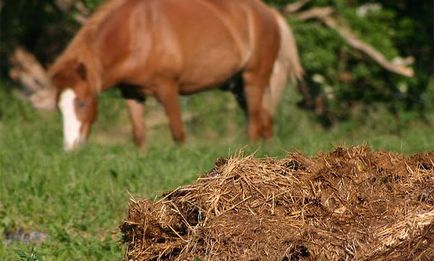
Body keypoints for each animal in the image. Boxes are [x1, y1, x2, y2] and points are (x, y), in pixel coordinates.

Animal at [50, 0, 302, 150]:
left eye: (82, 103)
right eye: (59, 107)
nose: (70, 146)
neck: (136, 32)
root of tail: (269, 13)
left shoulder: (167, 88)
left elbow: (178, 132)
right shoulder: (132, 93)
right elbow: (139, 135)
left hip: (254, 80)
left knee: (254, 123)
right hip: (239, 87)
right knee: (265, 121)